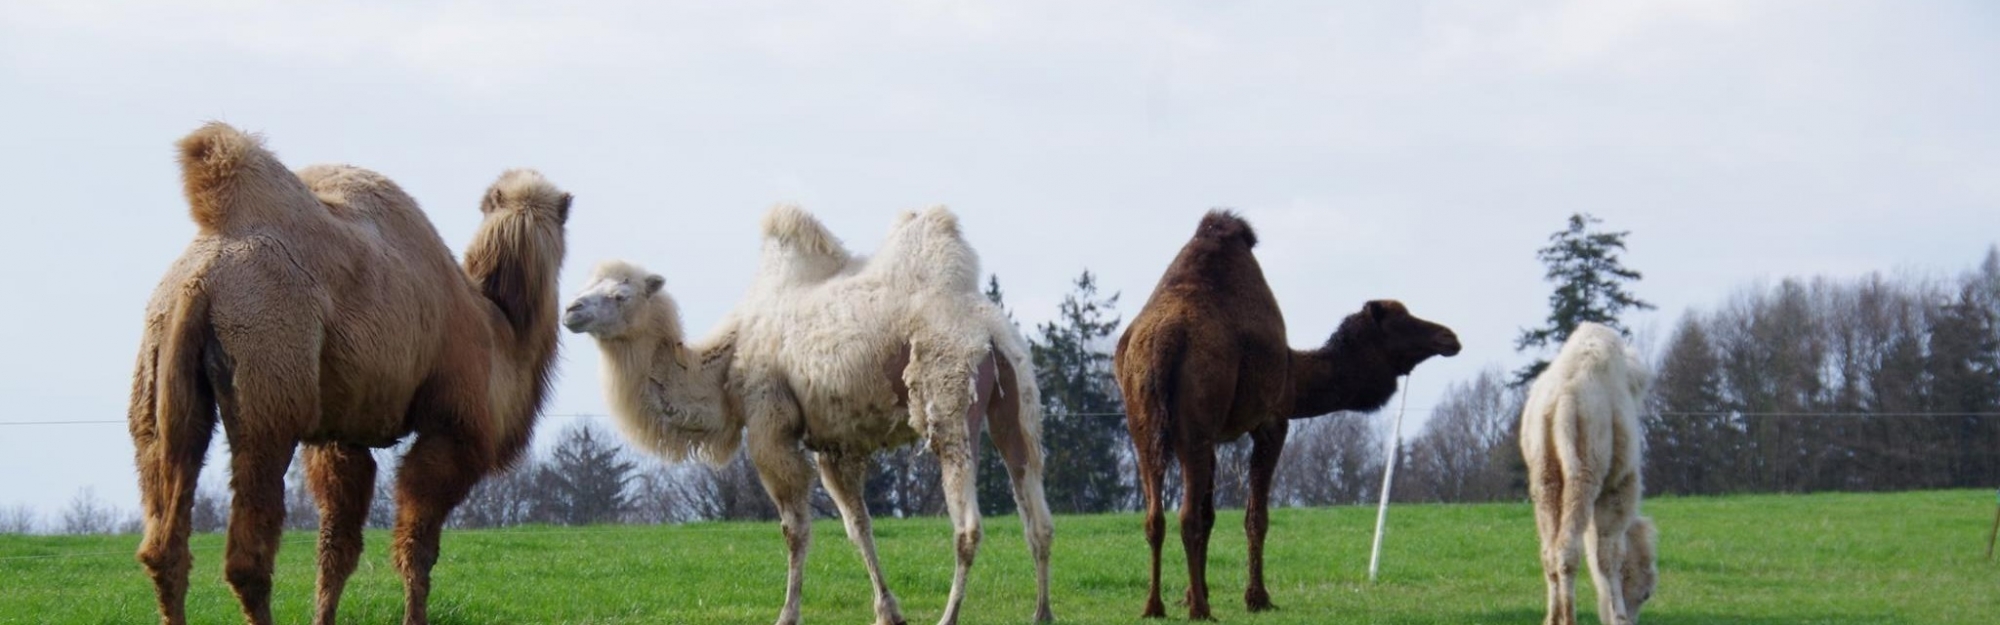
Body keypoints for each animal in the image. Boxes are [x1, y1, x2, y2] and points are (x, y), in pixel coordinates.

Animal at [130, 123, 572, 625]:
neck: (500, 330)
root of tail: (201, 280)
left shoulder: (342, 435)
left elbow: (336, 548)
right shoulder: (452, 431)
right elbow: (417, 545)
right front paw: (414, 618)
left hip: (158, 370)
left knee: (163, 539)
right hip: (269, 378)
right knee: (247, 554)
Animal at [564, 205, 1056, 625]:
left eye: (620, 294)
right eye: (586, 286)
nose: (570, 309)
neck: (724, 363)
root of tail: (987, 331)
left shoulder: (769, 421)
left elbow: (795, 530)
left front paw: (787, 614)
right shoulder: (836, 444)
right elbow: (859, 528)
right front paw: (888, 612)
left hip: (949, 395)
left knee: (968, 525)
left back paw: (949, 615)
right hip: (1020, 401)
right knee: (1038, 516)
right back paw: (1042, 613)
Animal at [1120, 211, 1464, 620]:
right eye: (1403, 320)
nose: (1449, 337)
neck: (1296, 373)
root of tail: (1165, 342)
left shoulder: (1216, 436)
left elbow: (1210, 515)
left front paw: (1193, 593)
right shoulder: (1272, 421)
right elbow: (1255, 517)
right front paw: (1257, 598)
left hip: (1144, 428)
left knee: (1154, 516)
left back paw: (1154, 606)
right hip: (1193, 426)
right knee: (1184, 516)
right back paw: (1201, 611)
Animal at [1520, 322, 1664, 625]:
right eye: (1646, 593)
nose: (1632, 621)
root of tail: (1562, 401)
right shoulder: (1621, 484)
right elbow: (1609, 554)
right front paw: (1618, 614)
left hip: (1544, 474)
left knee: (1549, 550)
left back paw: (1552, 618)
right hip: (1586, 470)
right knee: (1568, 550)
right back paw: (1569, 619)